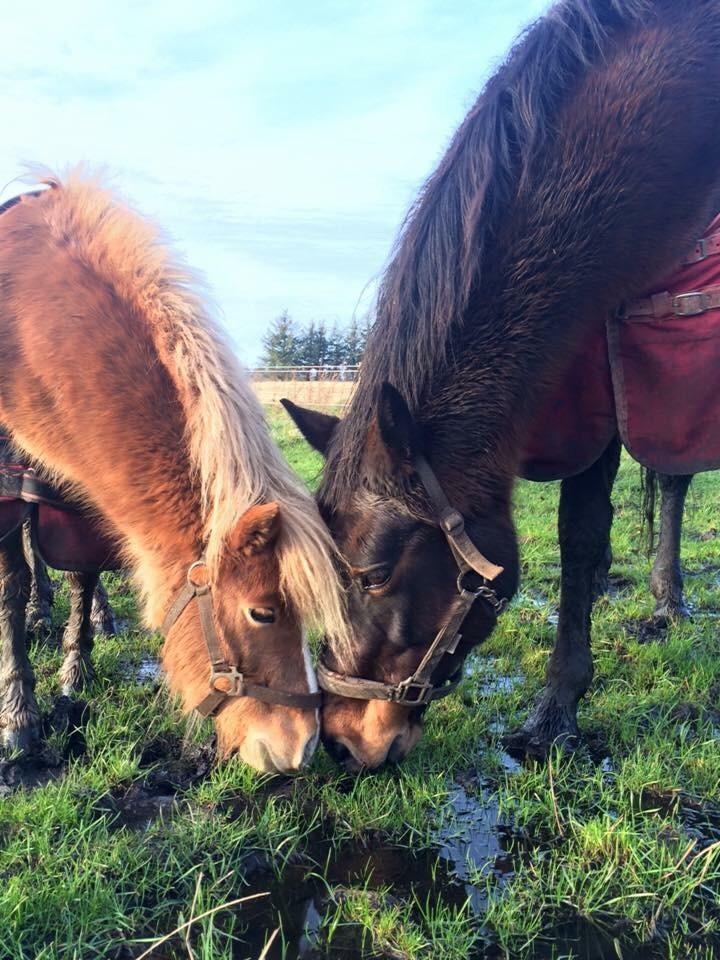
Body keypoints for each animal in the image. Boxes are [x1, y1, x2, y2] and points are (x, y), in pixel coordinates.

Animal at [0, 171, 348, 772]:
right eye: (263, 614)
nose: (302, 746)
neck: (25, 325)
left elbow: (82, 574)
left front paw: (75, 671)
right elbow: (11, 589)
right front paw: (21, 718)